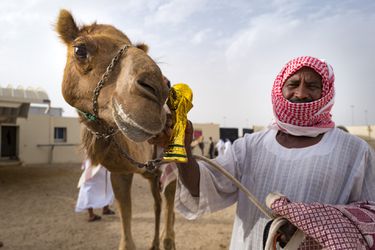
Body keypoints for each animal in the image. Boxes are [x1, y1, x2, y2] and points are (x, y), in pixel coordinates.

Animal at [56, 9, 178, 250]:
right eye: (80, 49)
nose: (160, 88)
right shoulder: (120, 171)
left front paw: (166, 240)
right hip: (152, 174)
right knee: (158, 203)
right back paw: (154, 244)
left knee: (168, 201)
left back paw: (166, 239)